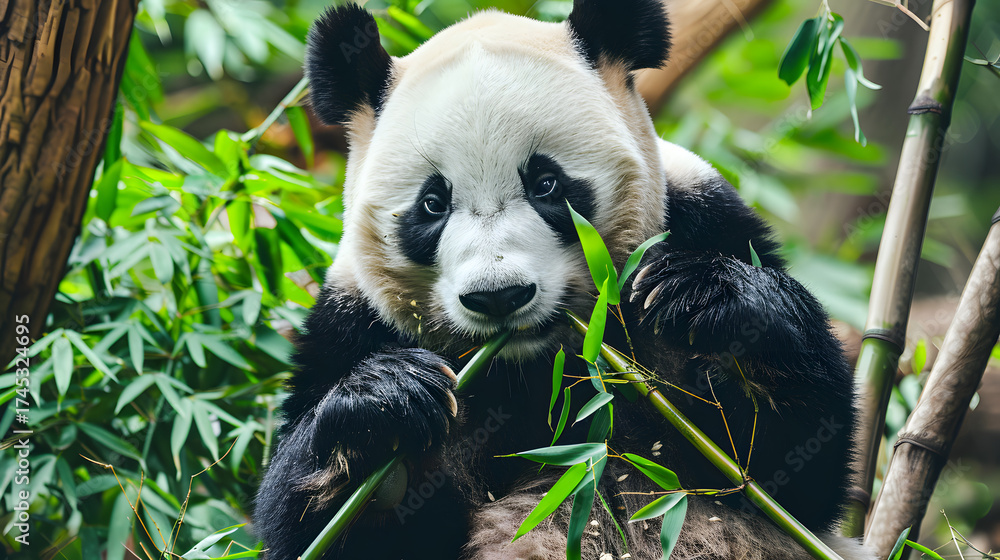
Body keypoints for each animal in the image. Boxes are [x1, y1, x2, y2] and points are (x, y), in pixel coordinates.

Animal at [253, 1, 872, 559]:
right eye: (433, 203)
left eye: (546, 184)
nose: (498, 297)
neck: (537, 365)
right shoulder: (353, 317)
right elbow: (313, 525)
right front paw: (384, 401)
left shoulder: (704, 218)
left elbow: (795, 474)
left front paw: (709, 298)